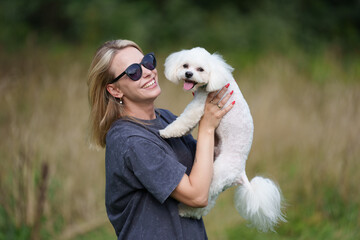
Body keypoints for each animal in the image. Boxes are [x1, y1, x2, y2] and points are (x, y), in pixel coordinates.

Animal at [162, 47, 286, 232]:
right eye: (185, 65)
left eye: (200, 69)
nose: (188, 74)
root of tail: (240, 173)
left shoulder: (198, 106)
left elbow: (183, 121)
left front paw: (165, 132)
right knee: (207, 204)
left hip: (215, 177)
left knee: (204, 201)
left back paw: (184, 211)